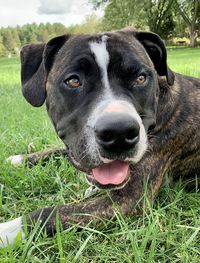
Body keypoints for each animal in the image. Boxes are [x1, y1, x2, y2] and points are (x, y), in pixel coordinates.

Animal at [0, 30, 200, 248]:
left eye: (140, 79)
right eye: (73, 81)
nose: (119, 132)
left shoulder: (128, 200)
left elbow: (50, 214)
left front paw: (4, 230)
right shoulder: (79, 146)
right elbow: (56, 149)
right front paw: (20, 158)